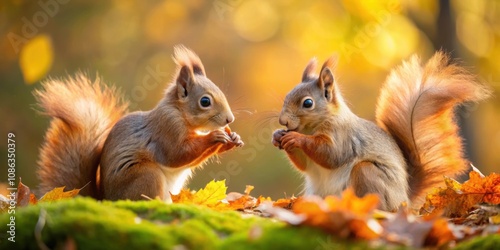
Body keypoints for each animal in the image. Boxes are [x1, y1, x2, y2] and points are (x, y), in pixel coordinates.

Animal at [34, 45, 242, 201]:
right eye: (205, 101)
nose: (229, 119)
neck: (179, 113)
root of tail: (106, 199)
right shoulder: (166, 128)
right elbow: (176, 154)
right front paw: (214, 136)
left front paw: (233, 139)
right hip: (146, 176)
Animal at [272, 52, 490, 211]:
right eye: (287, 96)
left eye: (308, 103)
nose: (283, 121)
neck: (311, 129)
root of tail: (405, 201)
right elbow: (305, 164)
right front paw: (277, 136)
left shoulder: (344, 137)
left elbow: (331, 155)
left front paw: (296, 138)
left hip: (368, 174)